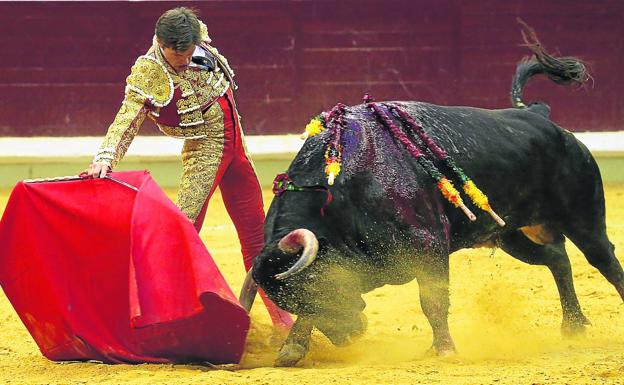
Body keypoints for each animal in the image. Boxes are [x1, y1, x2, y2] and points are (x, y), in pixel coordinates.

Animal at [241, 39, 624, 366]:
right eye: (291, 298)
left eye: (316, 287)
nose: (350, 337)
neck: (341, 192)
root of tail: (540, 117)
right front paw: (291, 348)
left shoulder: (429, 247)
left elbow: (433, 300)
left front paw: (444, 349)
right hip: (510, 234)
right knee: (557, 258)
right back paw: (573, 325)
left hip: (583, 218)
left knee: (604, 260)